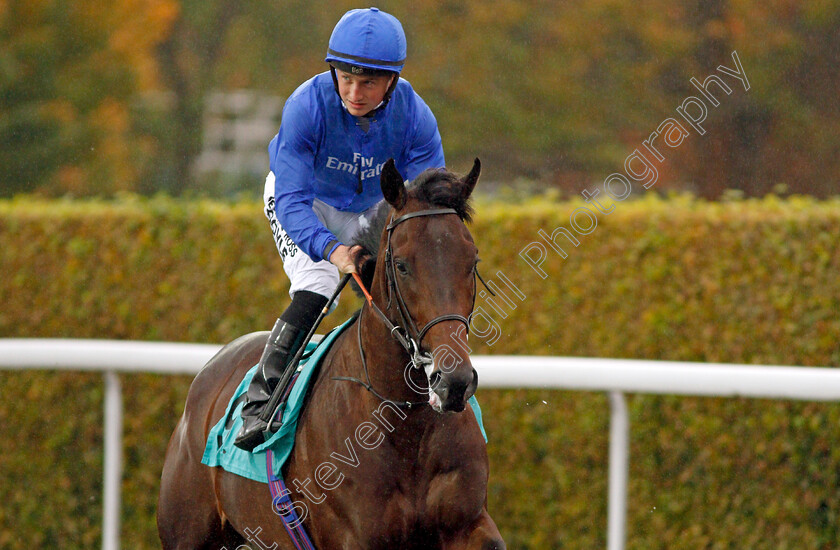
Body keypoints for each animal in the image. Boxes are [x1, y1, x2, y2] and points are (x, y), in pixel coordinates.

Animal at [158, 157, 506, 548]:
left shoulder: (468, 525)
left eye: (472, 261)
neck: (406, 425)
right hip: (188, 531)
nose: (453, 381)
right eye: (402, 265)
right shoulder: (354, 536)